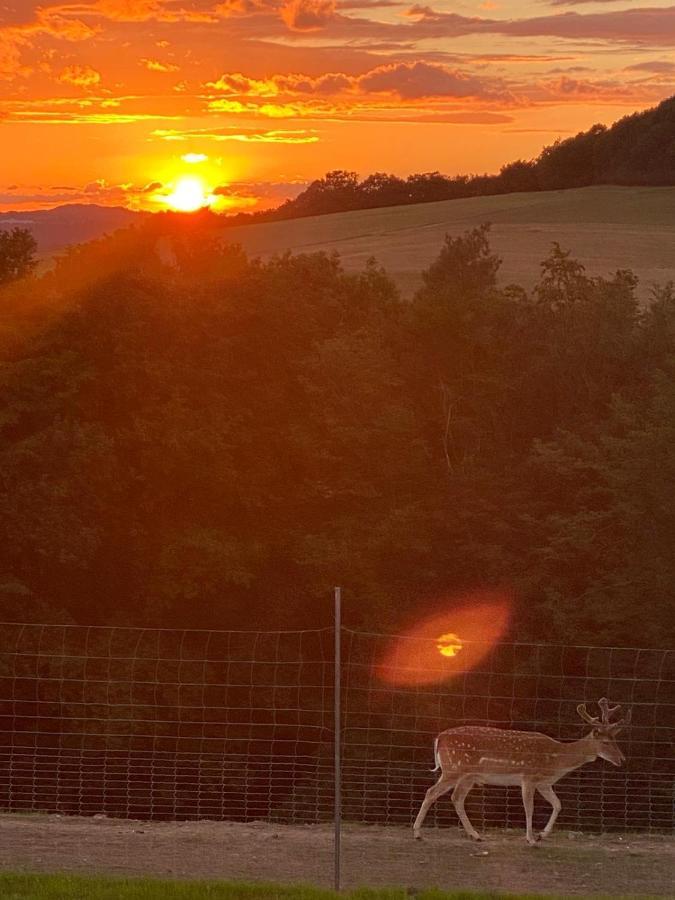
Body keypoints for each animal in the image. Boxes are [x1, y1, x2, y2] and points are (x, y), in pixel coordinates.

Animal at [414, 696, 632, 844]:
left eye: (615, 739)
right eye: (605, 742)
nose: (622, 759)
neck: (556, 761)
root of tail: (439, 738)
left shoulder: (544, 783)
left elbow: (558, 804)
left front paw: (542, 834)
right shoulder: (528, 777)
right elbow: (529, 807)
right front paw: (531, 838)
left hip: (468, 775)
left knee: (456, 798)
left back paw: (475, 835)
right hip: (454, 769)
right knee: (432, 792)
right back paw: (417, 833)